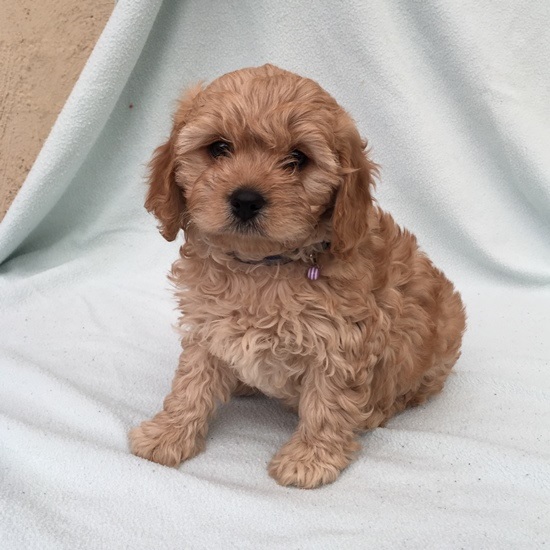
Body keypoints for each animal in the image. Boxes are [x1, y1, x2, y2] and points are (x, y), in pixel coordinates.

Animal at [132, 64, 468, 492]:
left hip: (442, 337)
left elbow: (327, 403)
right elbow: (191, 384)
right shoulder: (208, 327)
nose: (246, 199)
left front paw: (308, 460)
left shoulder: (341, 343)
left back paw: (379, 409)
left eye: (297, 158)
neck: (260, 268)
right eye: (219, 148)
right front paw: (167, 434)